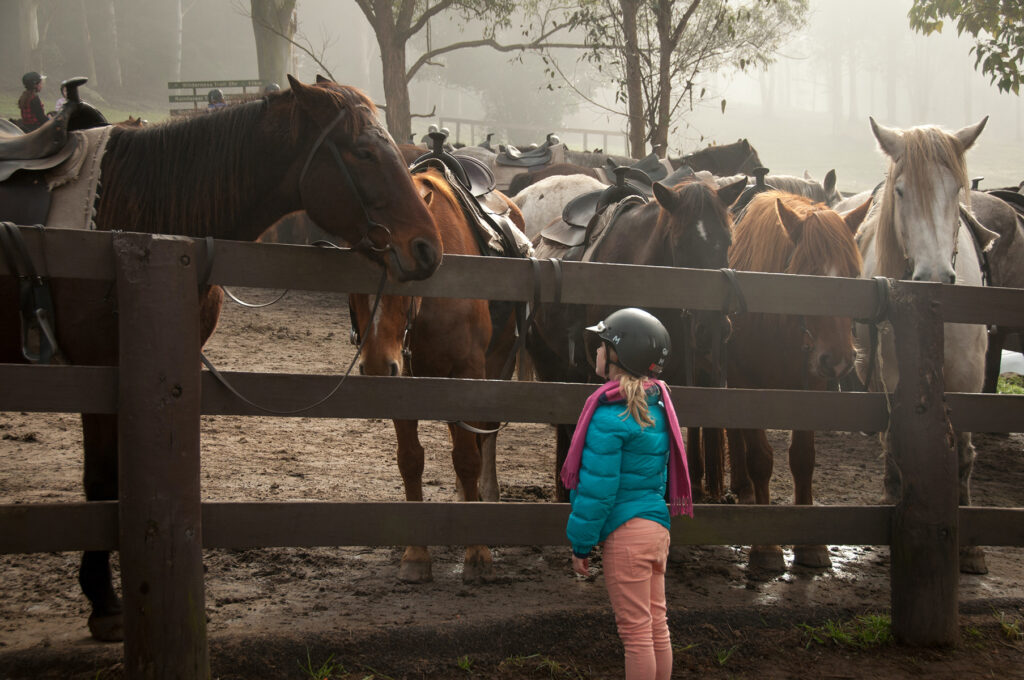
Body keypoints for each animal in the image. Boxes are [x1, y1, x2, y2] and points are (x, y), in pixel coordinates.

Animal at [0, 75, 440, 643]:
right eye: (363, 152)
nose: (428, 249)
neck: (135, 218)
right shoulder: (98, 372)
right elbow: (100, 482)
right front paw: (103, 602)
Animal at [348, 165, 524, 585]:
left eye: (407, 272)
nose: (376, 367)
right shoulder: (406, 382)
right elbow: (411, 460)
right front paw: (416, 554)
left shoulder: (468, 374)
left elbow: (468, 457)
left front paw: (477, 552)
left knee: (484, 437)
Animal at [724, 188, 868, 569]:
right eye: (807, 275)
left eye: (854, 275)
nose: (839, 359)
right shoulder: (746, 385)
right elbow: (761, 459)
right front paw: (766, 548)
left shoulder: (813, 388)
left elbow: (803, 458)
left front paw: (811, 545)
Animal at [851, 116, 995, 573]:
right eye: (901, 191)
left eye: (955, 188)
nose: (933, 274)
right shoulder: (897, 375)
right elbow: (900, 440)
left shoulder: (969, 379)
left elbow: (963, 453)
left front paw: (970, 548)